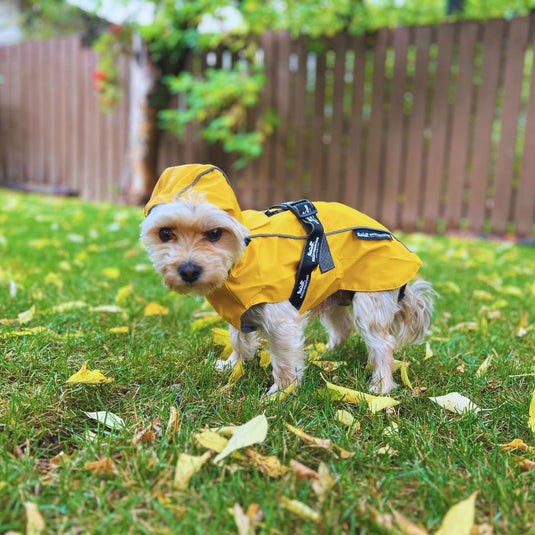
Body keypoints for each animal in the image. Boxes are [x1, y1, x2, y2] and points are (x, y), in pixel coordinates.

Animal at [141, 165, 436, 396]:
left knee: (382, 345)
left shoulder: (282, 320)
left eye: (214, 233)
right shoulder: (239, 310)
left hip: (370, 300)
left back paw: (382, 386)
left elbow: (283, 360)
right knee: (343, 327)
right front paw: (232, 365)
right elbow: (238, 340)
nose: (188, 270)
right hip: (332, 293)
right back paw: (326, 353)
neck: (240, 258)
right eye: (165, 233)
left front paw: (281, 393)